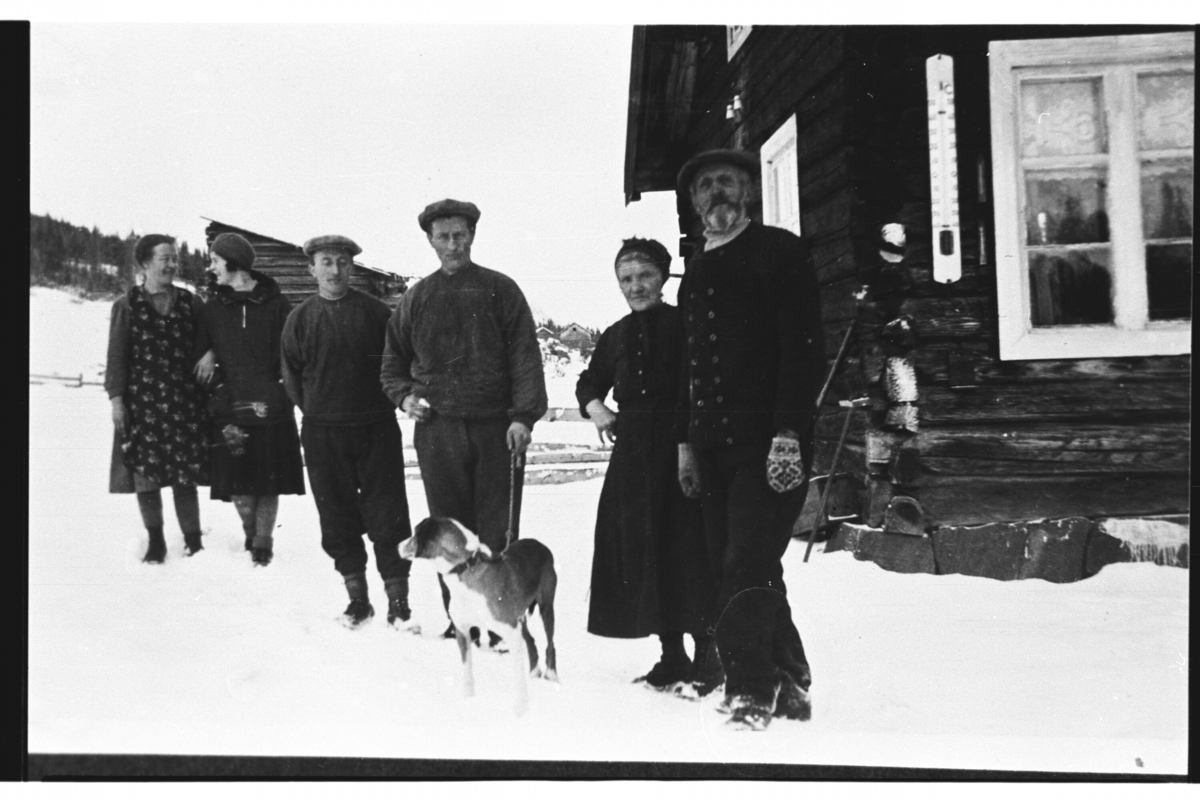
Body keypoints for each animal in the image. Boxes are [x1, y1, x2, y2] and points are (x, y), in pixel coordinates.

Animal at [398, 515, 556, 714]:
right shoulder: (462, 630)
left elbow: (518, 677)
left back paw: (552, 674)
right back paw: (534, 672)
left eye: (415, 534)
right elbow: (467, 670)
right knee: (531, 641)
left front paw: (521, 711)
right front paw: (469, 701)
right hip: (520, 617)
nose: (398, 545)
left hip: (546, 608)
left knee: (550, 643)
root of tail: (539, 544)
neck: (464, 568)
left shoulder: (511, 632)